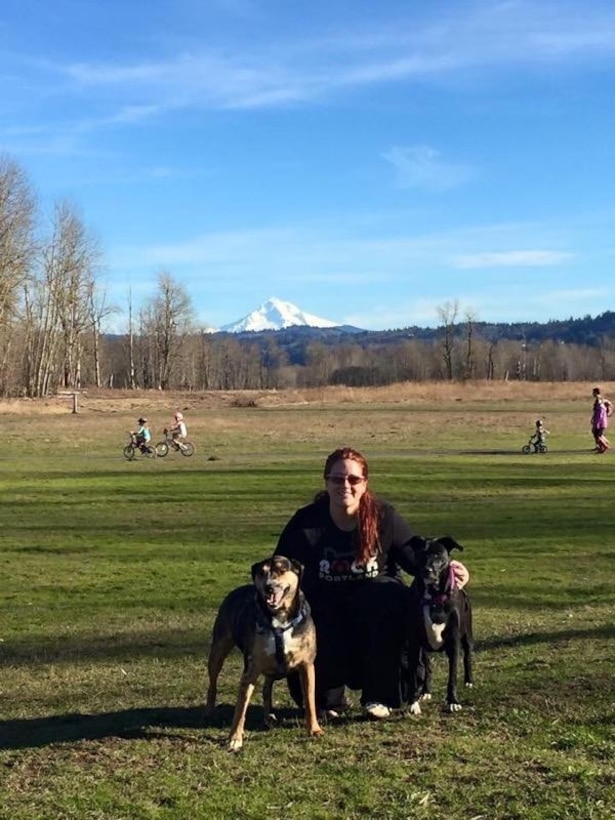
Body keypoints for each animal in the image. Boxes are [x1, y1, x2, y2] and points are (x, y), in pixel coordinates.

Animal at [206, 556, 324, 748]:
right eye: (262, 572)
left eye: (282, 570)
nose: (269, 587)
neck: (280, 619)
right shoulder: (251, 670)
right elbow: (241, 707)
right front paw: (234, 738)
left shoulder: (307, 665)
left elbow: (309, 699)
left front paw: (314, 729)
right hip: (219, 649)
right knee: (213, 682)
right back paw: (209, 711)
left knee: (267, 689)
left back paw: (269, 717)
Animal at [406, 536, 474, 716]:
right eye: (421, 553)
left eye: (438, 554)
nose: (427, 570)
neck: (433, 597)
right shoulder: (415, 642)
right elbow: (415, 675)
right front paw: (413, 703)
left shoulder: (454, 642)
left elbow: (452, 677)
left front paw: (453, 702)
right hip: (425, 650)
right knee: (428, 668)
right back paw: (425, 692)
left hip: (467, 635)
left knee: (468, 657)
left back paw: (469, 681)